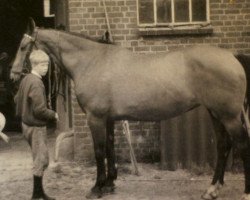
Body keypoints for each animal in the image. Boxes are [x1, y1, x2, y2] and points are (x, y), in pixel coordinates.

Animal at [10, 19, 250, 200]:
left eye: (22, 46)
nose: (13, 74)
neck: (92, 62)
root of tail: (232, 57)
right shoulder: (107, 119)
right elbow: (110, 148)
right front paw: (109, 184)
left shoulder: (95, 118)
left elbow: (99, 151)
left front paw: (97, 187)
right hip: (216, 113)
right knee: (223, 146)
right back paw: (212, 189)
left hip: (229, 117)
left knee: (242, 145)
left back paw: (244, 192)